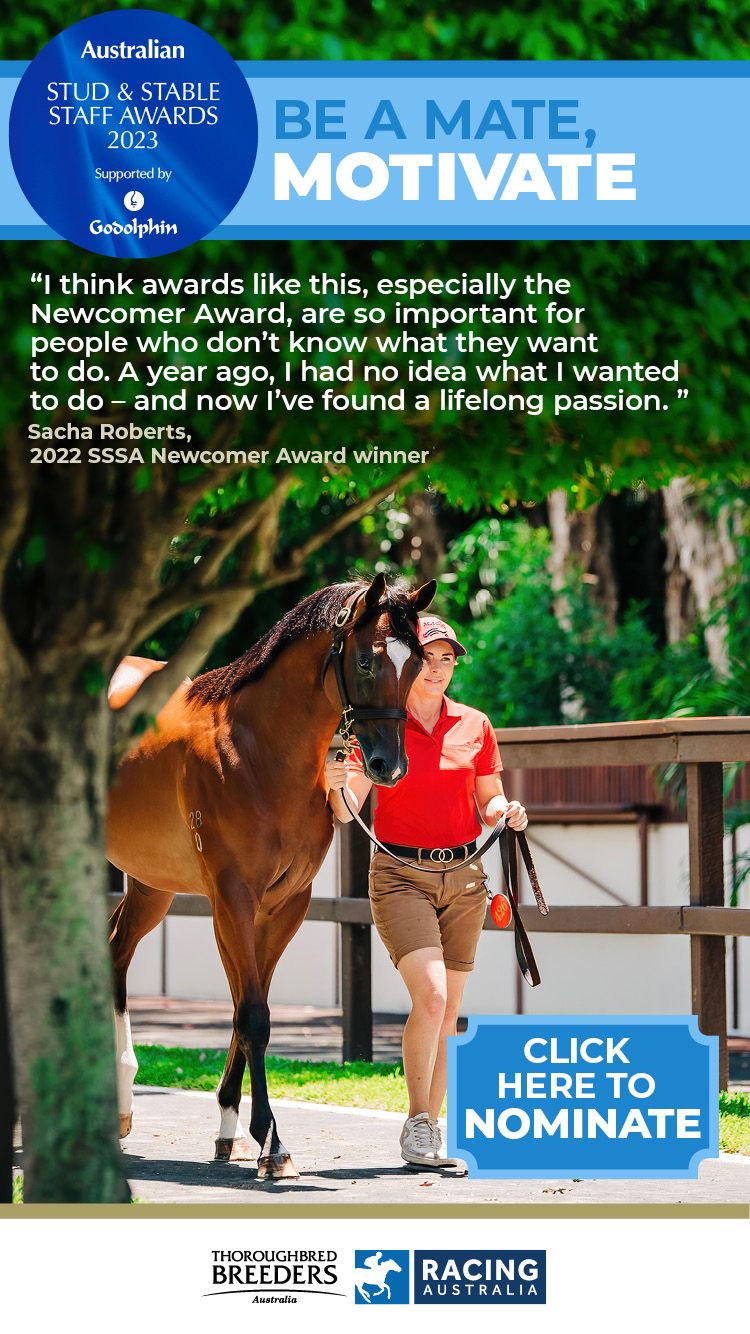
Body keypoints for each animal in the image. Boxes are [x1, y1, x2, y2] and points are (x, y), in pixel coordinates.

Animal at [106, 573, 436, 1180]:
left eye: (418, 664)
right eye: (367, 660)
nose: (389, 767)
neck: (260, 750)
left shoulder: (284, 904)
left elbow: (244, 1009)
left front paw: (234, 1131)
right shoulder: (233, 897)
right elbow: (254, 1014)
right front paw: (273, 1143)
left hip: (151, 882)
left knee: (116, 949)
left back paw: (120, 1107)